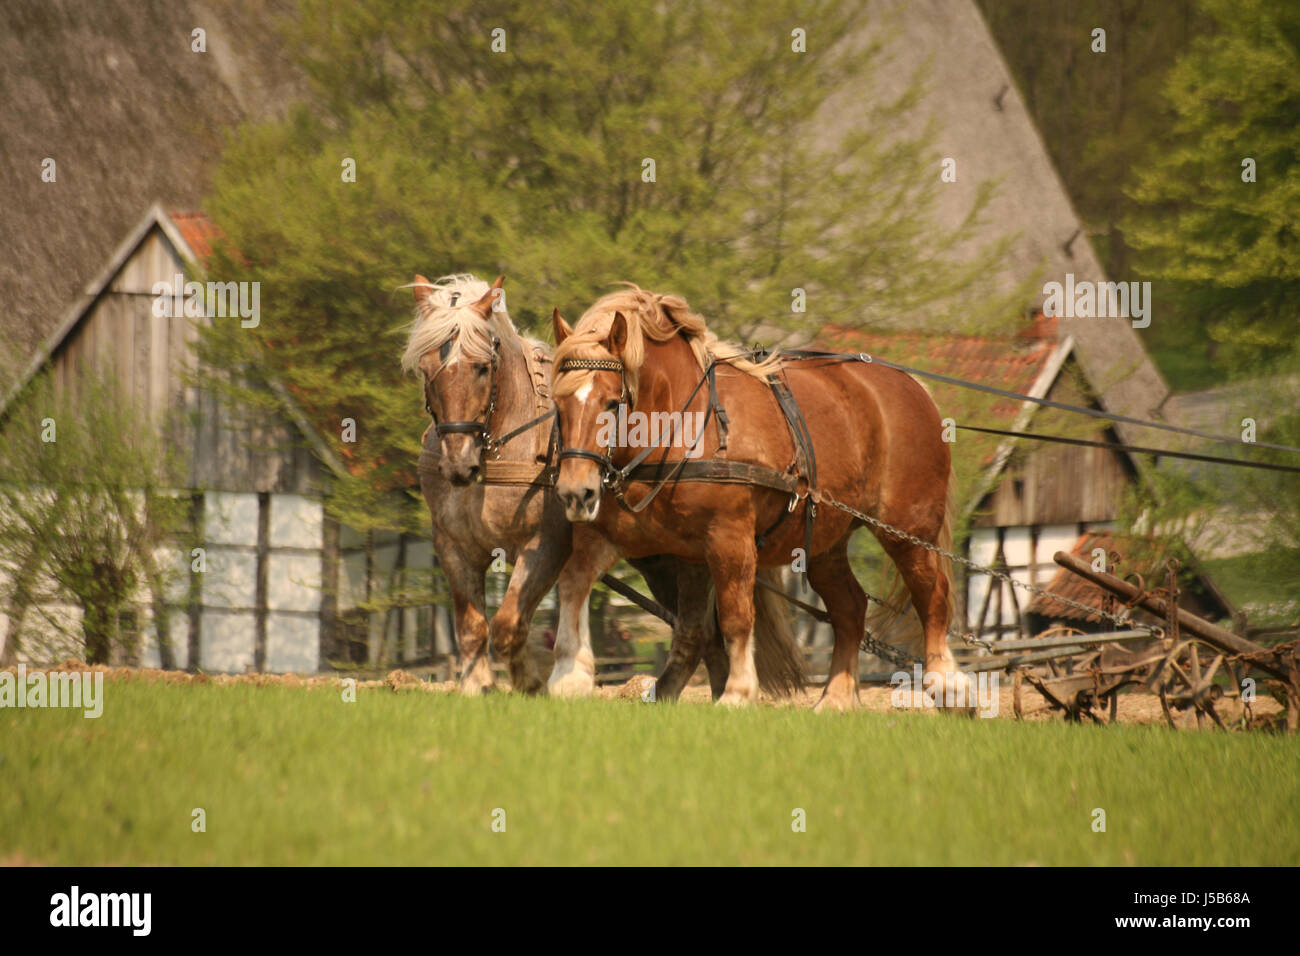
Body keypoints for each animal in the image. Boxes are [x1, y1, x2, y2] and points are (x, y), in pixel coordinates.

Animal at [402, 274, 803, 700]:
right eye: (426, 368)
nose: (458, 464)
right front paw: (477, 687)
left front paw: (532, 683)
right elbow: (473, 631)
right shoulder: (453, 547)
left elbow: (508, 625)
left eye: (481, 367)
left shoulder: (545, 545)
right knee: (705, 636)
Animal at [550, 286, 959, 709]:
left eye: (610, 402)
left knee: (933, 598)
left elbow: (735, 616)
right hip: (824, 542)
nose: (575, 493)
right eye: (558, 403)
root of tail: (912, 386)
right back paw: (835, 698)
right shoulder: (637, 542)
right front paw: (568, 677)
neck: (679, 428)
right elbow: (574, 586)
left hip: (908, 531)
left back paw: (947, 684)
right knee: (850, 607)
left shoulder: (729, 537)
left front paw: (738, 692)